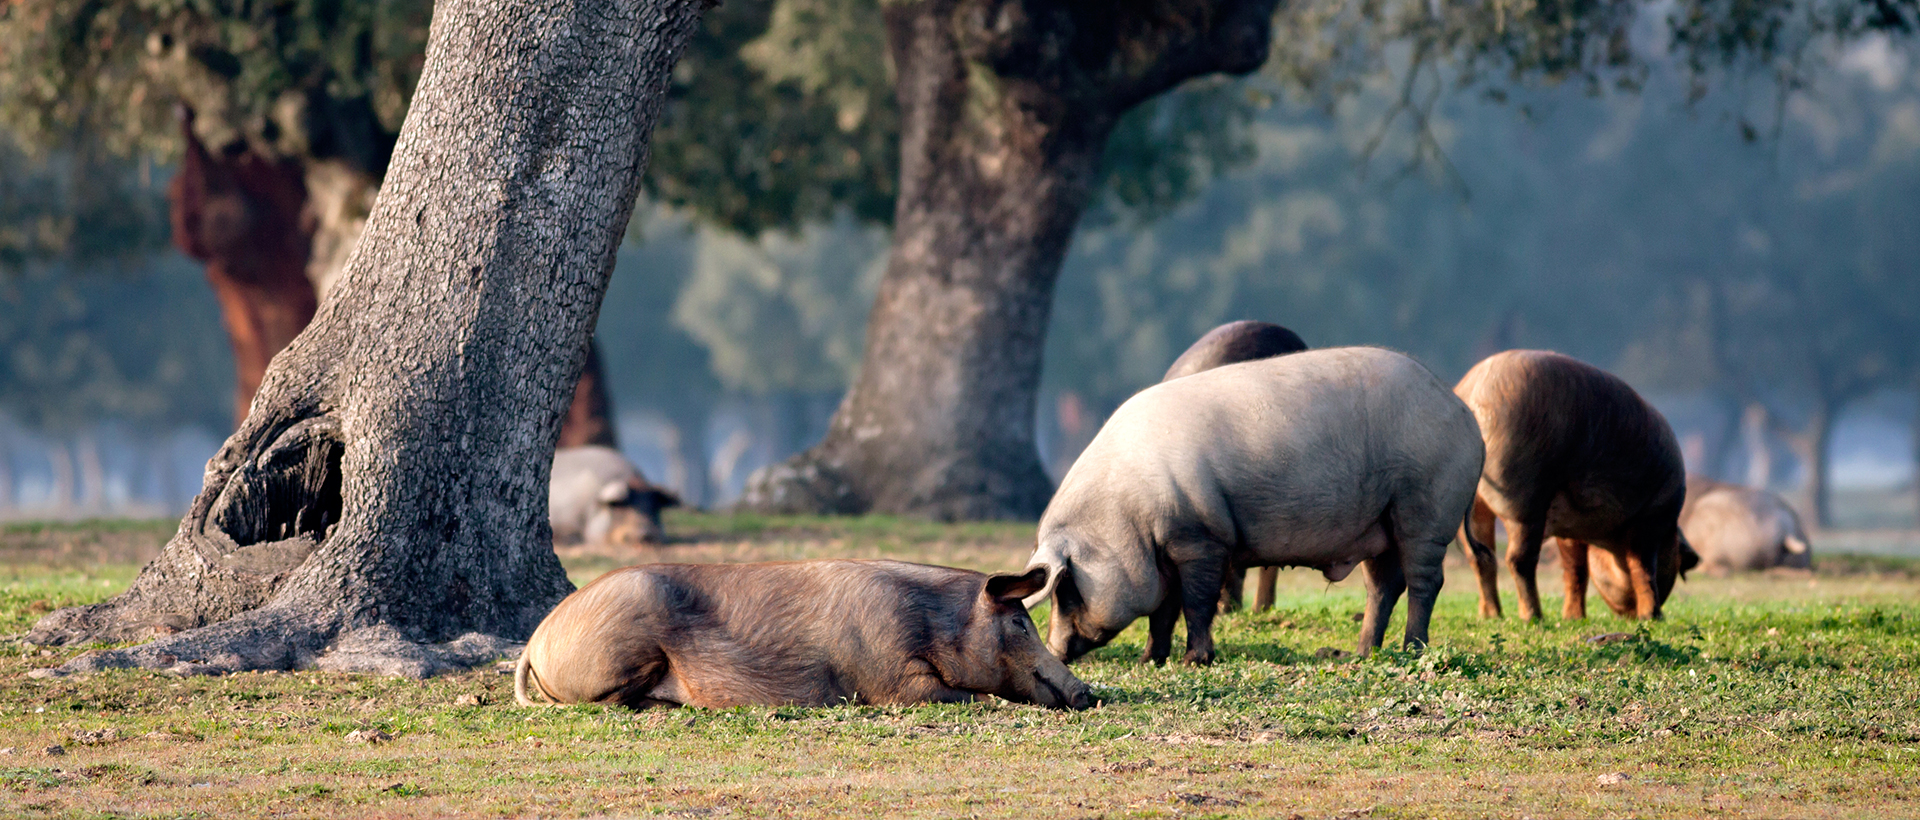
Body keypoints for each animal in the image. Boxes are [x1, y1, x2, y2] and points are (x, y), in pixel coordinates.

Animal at [518, 556, 1090, 714]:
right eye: (1019, 622)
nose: (1089, 693)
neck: (933, 623)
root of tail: (536, 638)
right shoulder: (888, 677)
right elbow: (961, 695)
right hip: (621, 652)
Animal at [1021, 347, 1482, 668]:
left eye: (1067, 588)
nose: (1054, 651)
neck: (1125, 513)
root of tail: (1466, 416)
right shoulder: (1164, 554)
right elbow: (1163, 611)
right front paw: (1149, 660)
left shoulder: (1202, 538)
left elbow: (1197, 602)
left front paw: (1194, 662)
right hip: (1378, 524)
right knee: (1383, 585)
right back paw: (1363, 654)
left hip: (1426, 506)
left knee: (1425, 581)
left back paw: (1412, 651)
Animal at [1451, 349, 1697, 626]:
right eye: (1676, 560)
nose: (1630, 616)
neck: (1607, 540)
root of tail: (1472, 393)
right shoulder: (1652, 516)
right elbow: (1643, 568)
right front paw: (1653, 618)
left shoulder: (1570, 529)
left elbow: (1575, 569)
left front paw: (1573, 618)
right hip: (1524, 499)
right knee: (1518, 560)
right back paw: (1534, 617)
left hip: (1473, 504)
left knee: (1481, 557)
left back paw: (1492, 615)